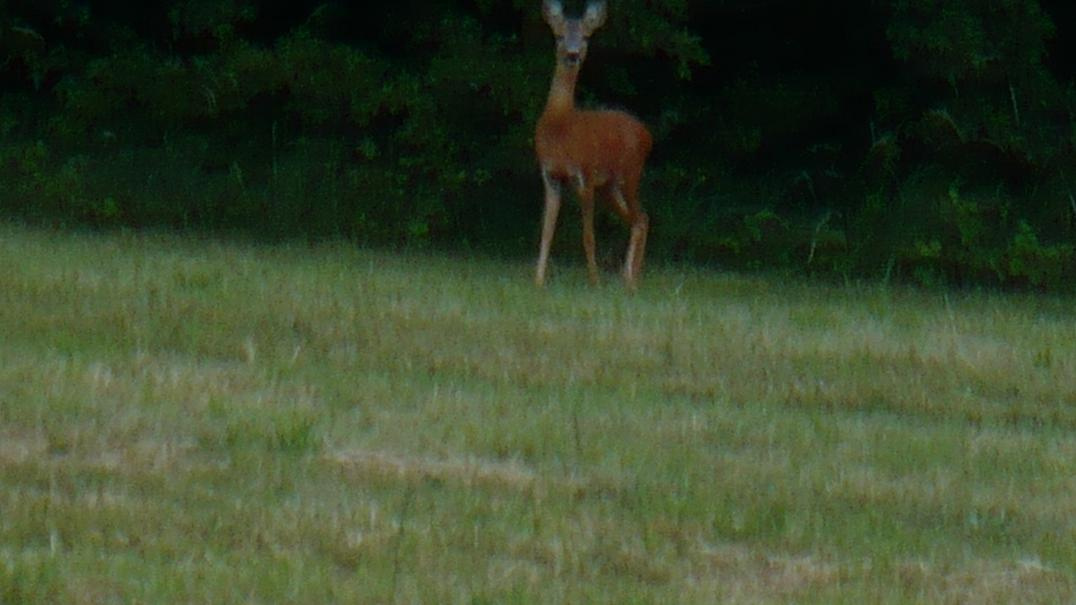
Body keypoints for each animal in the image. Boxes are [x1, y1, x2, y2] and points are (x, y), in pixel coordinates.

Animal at [533, 0, 649, 292]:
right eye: (559, 36)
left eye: (585, 37)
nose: (573, 54)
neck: (560, 125)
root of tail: (646, 133)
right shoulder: (550, 176)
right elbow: (546, 232)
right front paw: (538, 281)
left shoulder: (583, 173)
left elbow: (588, 234)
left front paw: (594, 281)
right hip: (609, 186)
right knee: (638, 219)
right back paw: (628, 277)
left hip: (631, 173)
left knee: (642, 217)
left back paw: (632, 279)